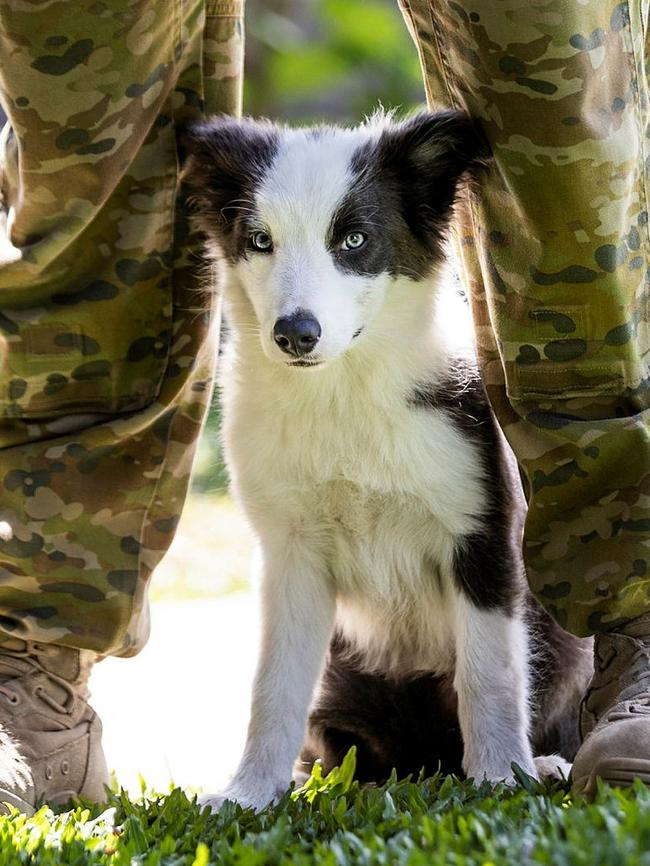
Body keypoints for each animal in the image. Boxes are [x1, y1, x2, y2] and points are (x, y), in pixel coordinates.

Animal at [184, 109, 592, 808]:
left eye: (353, 239)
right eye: (260, 241)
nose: (295, 334)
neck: (343, 390)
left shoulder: (480, 532)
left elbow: (490, 671)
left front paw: (499, 777)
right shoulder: (291, 552)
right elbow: (275, 686)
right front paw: (248, 794)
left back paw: (545, 763)